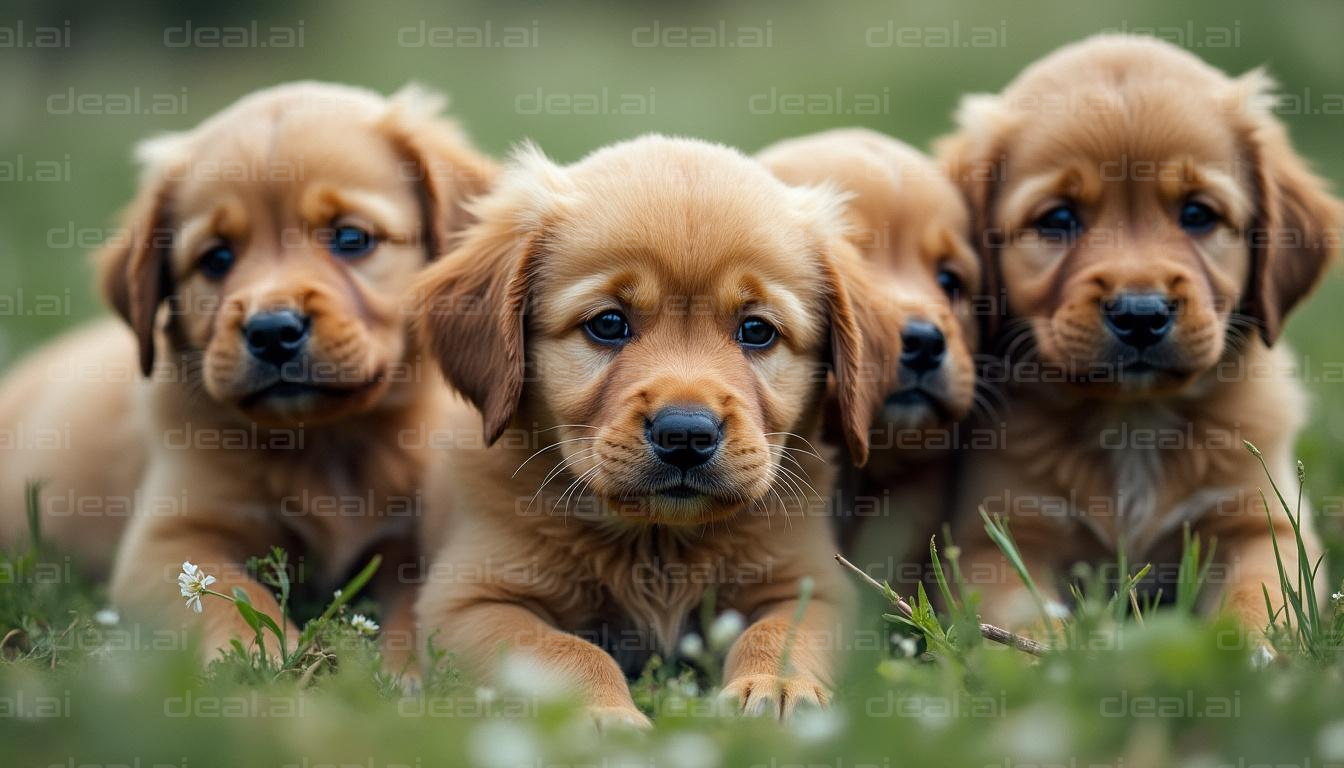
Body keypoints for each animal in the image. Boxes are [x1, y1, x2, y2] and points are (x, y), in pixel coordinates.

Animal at [0, 82, 499, 661]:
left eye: (351, 239)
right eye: (216, 258)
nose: (273, 331)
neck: (325, 442)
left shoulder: (414, 542)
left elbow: (415, 616)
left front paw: (405, 668)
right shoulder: (170, 540)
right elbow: (230, 599)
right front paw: (266, 663)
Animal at [416, 135, 881, 726]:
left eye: (757, 330)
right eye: (608, 324)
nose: (686, 435)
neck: (658, 543)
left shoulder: (814, 586)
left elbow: (784, 630)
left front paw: (776, 687)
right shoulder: (470, 600)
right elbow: (563, 649)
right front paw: (602, 715)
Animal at [940, 34, 1338, 637]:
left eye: (1197, 213)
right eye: (1058, 219)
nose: (1141, 314)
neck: (1133, 420)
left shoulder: (1259, 522)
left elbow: (1261, 598)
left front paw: (1251, 648)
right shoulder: (997, 536)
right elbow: (1026, 618)